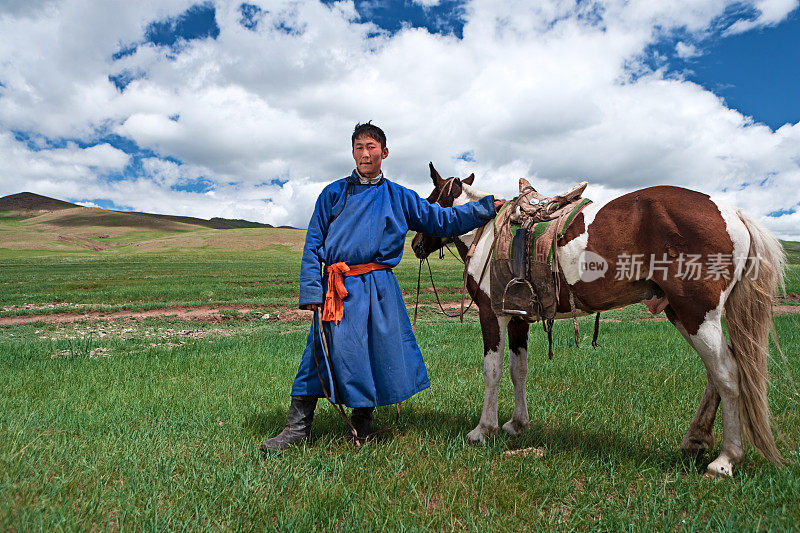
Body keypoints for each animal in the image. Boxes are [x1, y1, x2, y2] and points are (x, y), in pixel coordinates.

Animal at [412, 163, 788, 478]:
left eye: (429, 199)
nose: (415, 244)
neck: (488, 232)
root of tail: (733, 213)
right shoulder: (519, 319)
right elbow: (519, 370)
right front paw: (516, 425)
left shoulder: (493, 315)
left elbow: (492, 371)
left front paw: (483, 430)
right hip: (682, 314)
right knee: (716, 374)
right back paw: (695, 441)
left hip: (698, 315)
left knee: (728, 375)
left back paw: (725, 460)